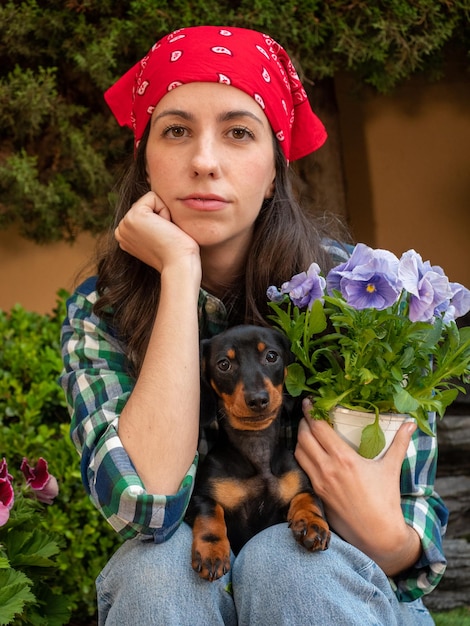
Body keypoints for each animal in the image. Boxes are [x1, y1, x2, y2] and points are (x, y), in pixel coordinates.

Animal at [185, 324, 330, 576]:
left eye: (271, 356)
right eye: (224, 364)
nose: (258, 400)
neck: (256, 448)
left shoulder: (299, 485)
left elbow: (308, 498)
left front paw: (313, 524)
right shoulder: (198, 497)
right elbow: (211, 509)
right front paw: (212, 551)